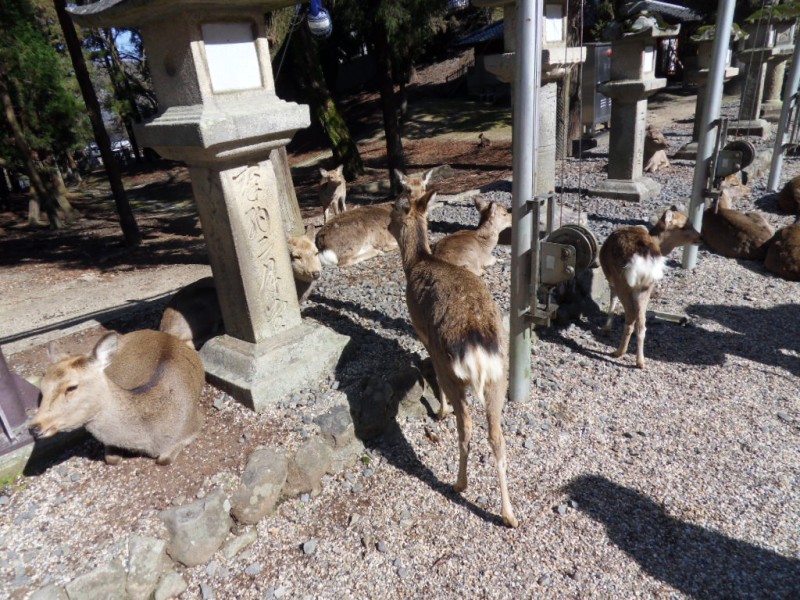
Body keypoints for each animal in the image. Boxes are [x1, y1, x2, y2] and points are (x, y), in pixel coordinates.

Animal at [29, 329, 205, 466]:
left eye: (71, 387)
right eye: (42, 387)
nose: (34, 427)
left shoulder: (194, 425)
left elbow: (164, 459)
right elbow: (111, 459)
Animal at [389, 189, 518, 528]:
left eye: (394, 209)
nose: (385, 225)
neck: (418, 261)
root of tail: (477, 346)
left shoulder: (423, 334)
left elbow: (431, 370)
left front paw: (439, 411)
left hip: (455, 372)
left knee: (467, 428)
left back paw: (459, 484)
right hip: (499, 376)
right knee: (497, 436)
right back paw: (509, 515)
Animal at [600, 208, 701, 369]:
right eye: (684, 226)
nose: (701, 237)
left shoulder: (611, 279)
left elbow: (612, 299)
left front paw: (606, 329)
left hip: (624, 282)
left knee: (630, 317)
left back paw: (619, 352)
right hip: (646, 287)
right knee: (641, 324)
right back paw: (640, 361)